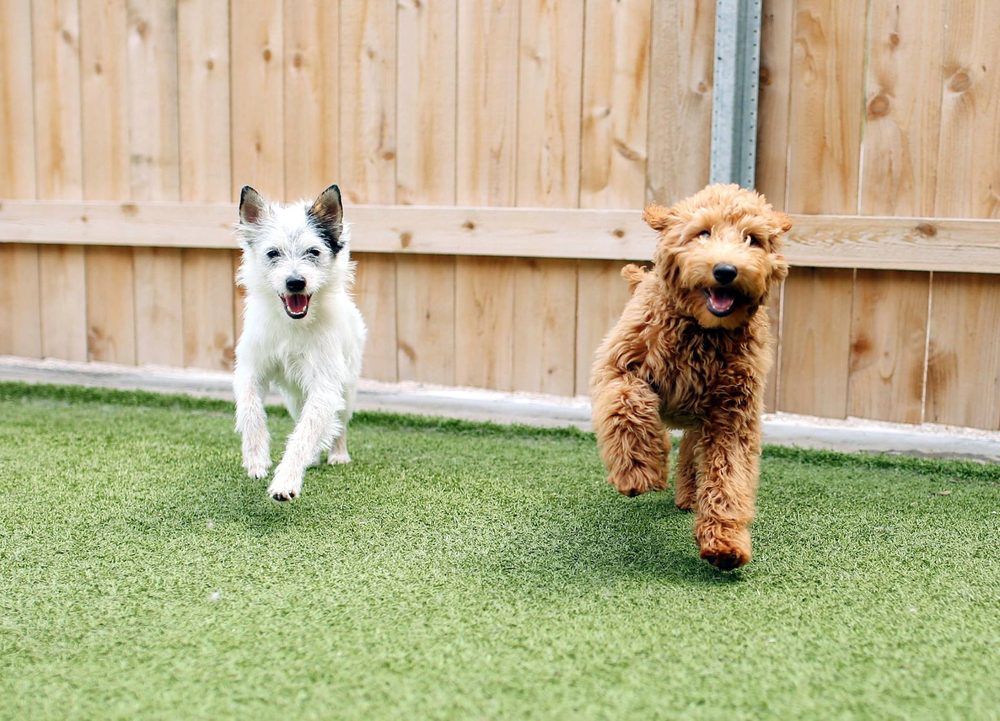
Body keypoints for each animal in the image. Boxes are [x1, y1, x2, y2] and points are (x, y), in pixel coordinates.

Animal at [233, 184, 367, 501]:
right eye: (273, 253)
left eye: (313, 252)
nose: (295, 282)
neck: (292, 324)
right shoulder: (250, 369)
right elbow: (251, 410)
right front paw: (256, 459)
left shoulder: (325, 386)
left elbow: (306, 433)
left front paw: (286, 480)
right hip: (294, 397)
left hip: (347, 387)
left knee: (338, 422)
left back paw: (337, 453)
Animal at [590, 184, 791, 570]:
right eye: (703, 233)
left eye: (752, 239)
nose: (726, 270)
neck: (702, 330)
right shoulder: (620, 367)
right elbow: (629, 405)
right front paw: (638, 472)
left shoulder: (732, 414)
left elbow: (729, 474)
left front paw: (725, 543)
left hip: (703, 421)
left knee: (691, 452)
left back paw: (689, 494)